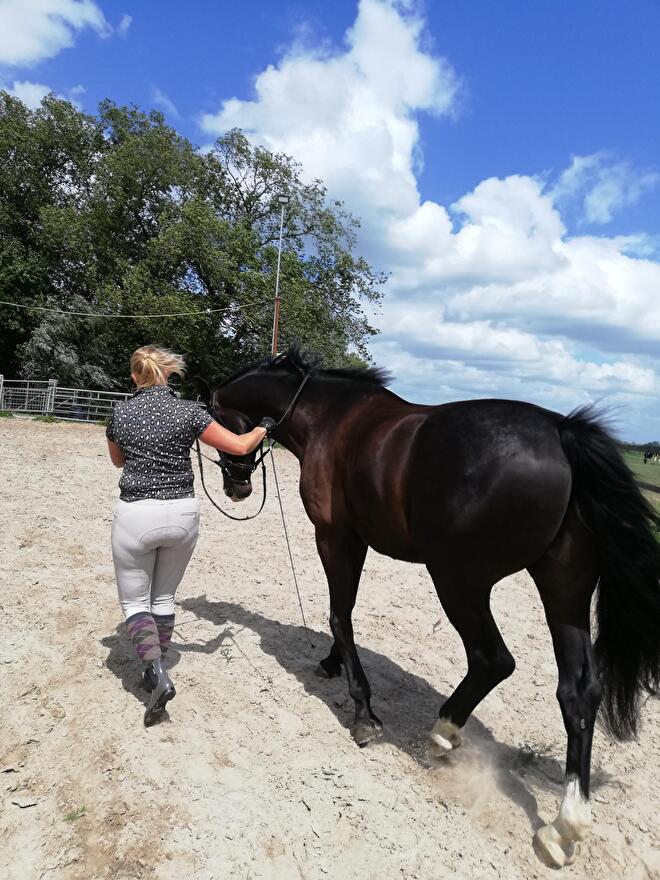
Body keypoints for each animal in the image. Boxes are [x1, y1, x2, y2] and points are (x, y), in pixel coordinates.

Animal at [202, 348, 660, 868]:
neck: (331, 416)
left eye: (215, 419)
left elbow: (341, 612)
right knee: (578, 692)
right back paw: (564, 827)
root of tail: (562, 433)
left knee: (492, 660)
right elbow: (346, 609)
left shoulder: (335, 537)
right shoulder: (358, 540)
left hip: (458, 581)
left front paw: (364, 712)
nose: (236, 487)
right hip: (563, 594)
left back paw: (444, 732)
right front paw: (332, 662)